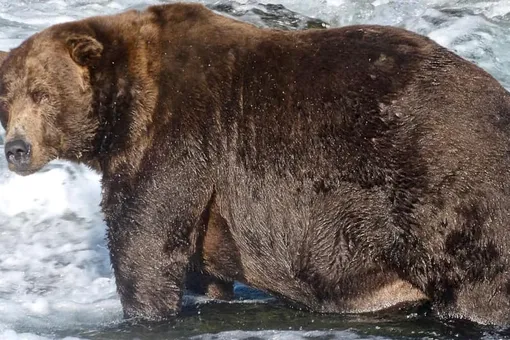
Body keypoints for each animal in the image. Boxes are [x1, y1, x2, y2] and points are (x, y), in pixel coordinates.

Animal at [0, 2, 510, 326]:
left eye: (41, 93)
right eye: (6, 97)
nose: (16, 149)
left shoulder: (178, 135)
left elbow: (144, 241)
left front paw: (143, 311)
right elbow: (197, 268)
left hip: (444, 191)